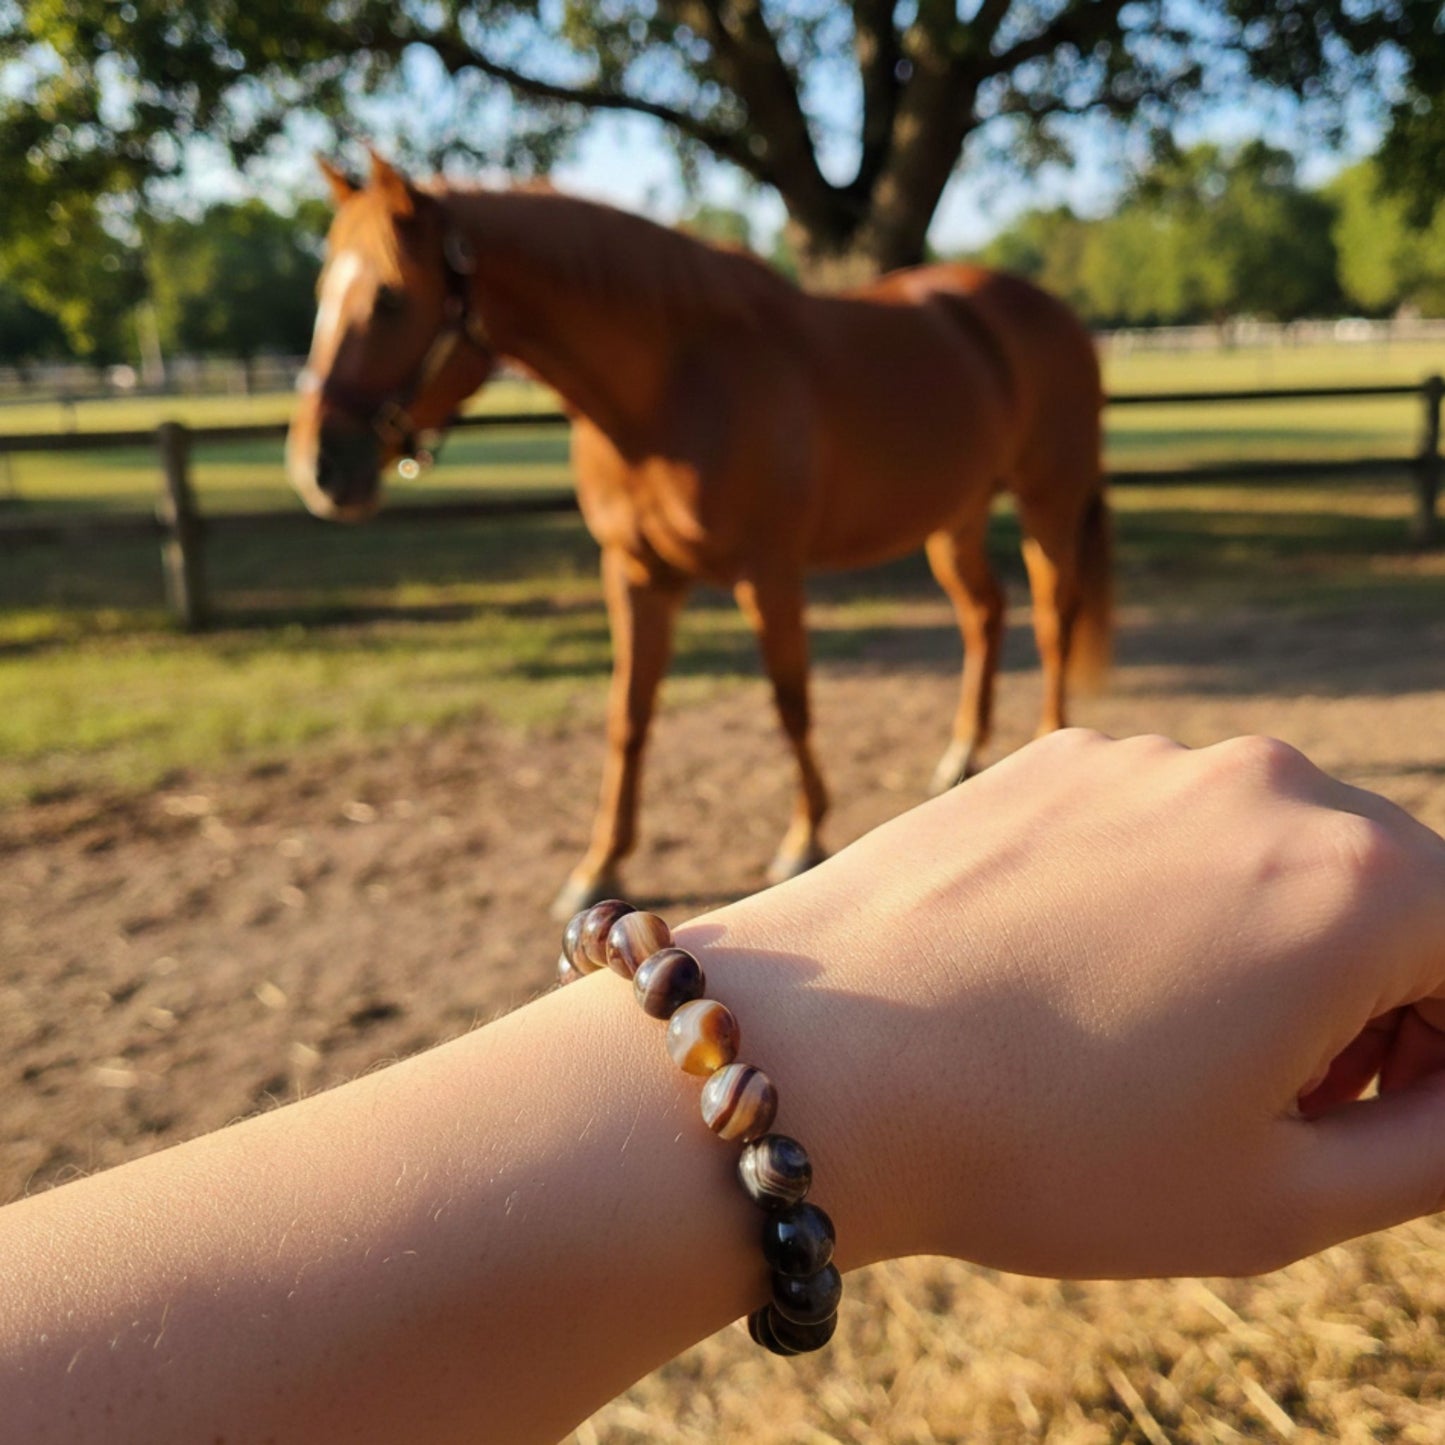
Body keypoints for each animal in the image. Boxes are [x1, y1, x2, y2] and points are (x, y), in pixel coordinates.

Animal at [287, 151, 1110, 920]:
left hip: (1046, 502)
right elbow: (628, 715)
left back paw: (1046, 739)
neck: (669, 388)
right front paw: (599, 866)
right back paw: (961, 757)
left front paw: (802, 837)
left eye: (389, 297)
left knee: (1051, 616)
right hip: (953, 519)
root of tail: (1053, 314)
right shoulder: (635, 573)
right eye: (321, 294)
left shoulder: (768, 573)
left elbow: (790, 702)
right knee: (984, 613)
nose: (316, 467)